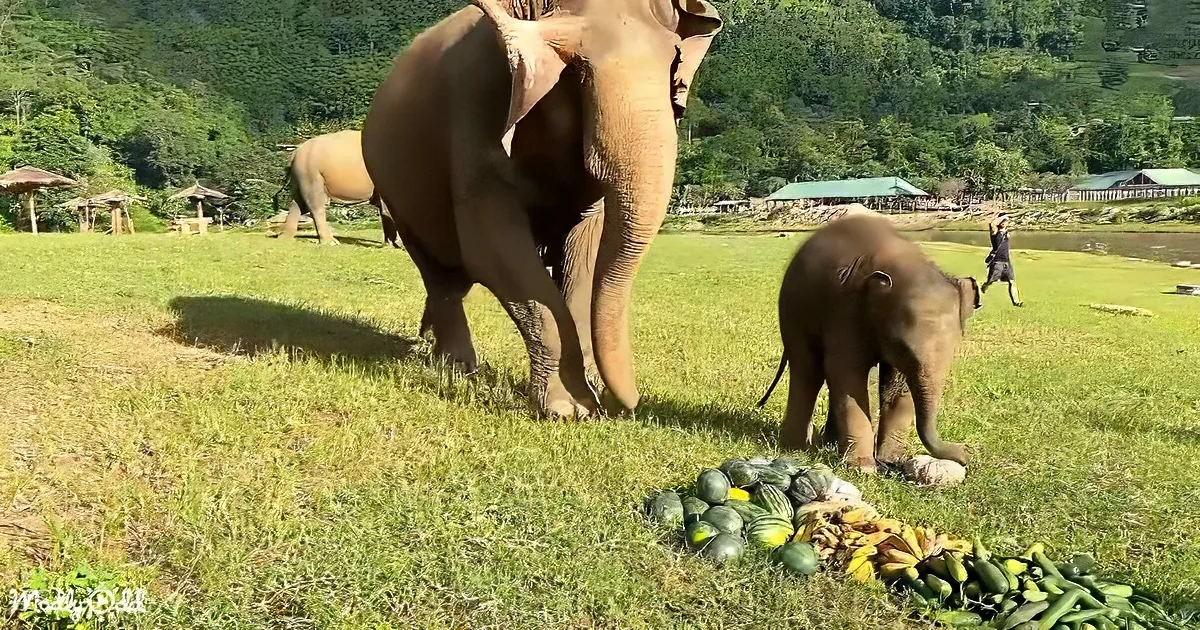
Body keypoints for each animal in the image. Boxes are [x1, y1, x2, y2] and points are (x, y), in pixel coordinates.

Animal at [362, 0, 722, 418]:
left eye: (672, 64)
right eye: (577, 73)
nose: (629, 405)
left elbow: (583, 256)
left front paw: (589, 392)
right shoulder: (480, 107)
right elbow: (493, 251)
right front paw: (572, 410)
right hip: (395, 192)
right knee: (442, 272)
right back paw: (457, 368)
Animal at [756, 212, 981, 473]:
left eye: (954, 348)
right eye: (903, 347)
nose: (967, 454)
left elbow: (896, 383)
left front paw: (891, 460)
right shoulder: (846, 311)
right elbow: (848, 372)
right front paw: (864, 468)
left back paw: (829, 444)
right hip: (794, 311)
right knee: (808, 370)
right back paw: (797, 449)